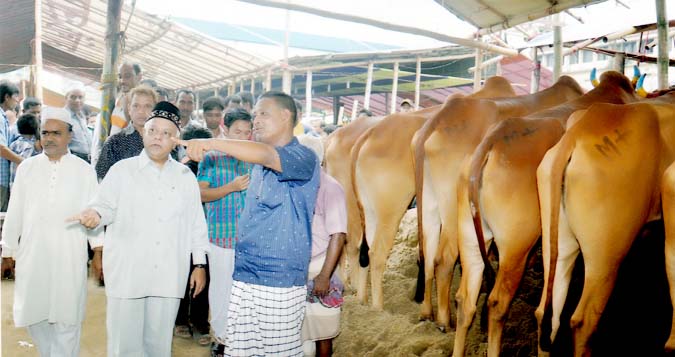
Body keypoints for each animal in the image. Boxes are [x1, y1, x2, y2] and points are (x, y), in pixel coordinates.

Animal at [348, 76, 516, 308]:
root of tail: (367, 135)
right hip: (389, 210)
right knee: (374, 252)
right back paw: (379, 307)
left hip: (368, 209)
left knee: (361, 248)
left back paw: (363, 300)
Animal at [412, 76, 588, 330]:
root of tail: (438, 119)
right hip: (452, 211)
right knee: (443, 259)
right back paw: (445, 319)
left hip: (430, 204)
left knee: (428, 252)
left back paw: (427, 312)